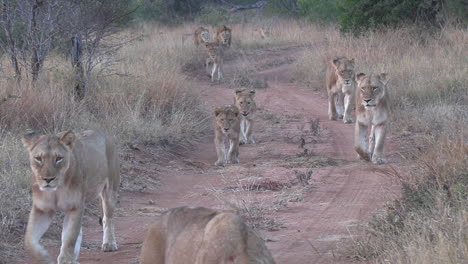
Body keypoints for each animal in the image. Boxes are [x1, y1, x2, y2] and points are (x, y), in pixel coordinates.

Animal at [22, 129, 119, 262]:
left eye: (58, 158)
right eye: (38, 158)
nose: (48, 179)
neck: (56, 190)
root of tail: (103, 132)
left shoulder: (75, 206)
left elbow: (70, 237)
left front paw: (66, 260)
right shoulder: (42, 209)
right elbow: (29, 241)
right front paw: (45, 258)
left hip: (109, 190)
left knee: (107, 218)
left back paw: (109, 244)